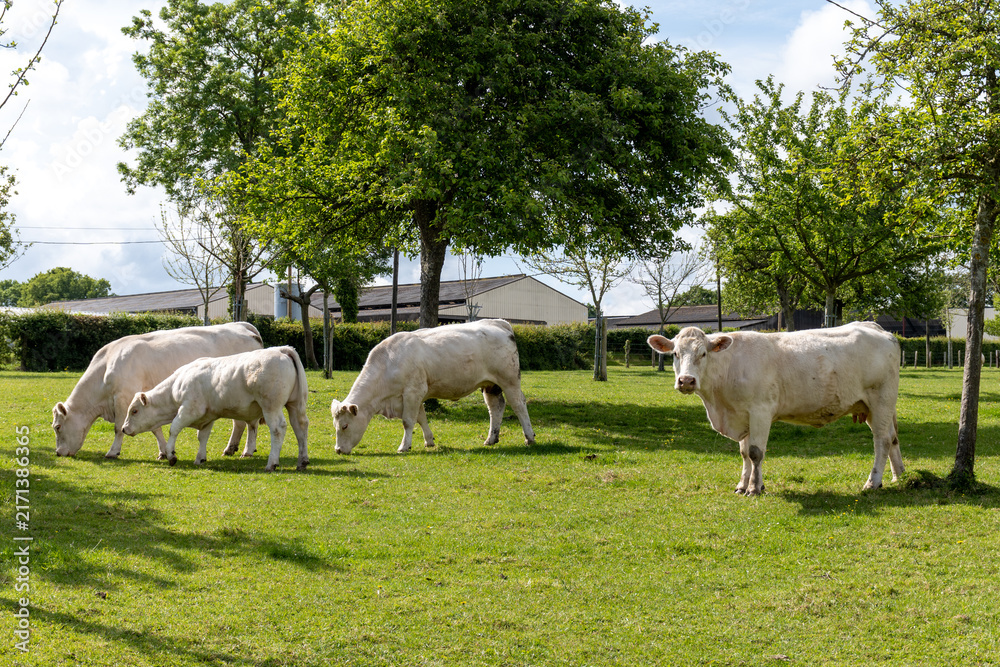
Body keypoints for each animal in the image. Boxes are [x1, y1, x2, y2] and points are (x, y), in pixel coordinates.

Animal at [52, 322, 264, 460]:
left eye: (57, 427)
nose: (58, 453)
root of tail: (242, 326)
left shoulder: (124, 398)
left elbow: (118, 428)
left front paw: (113, 452)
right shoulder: (146, 402)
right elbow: (155, 428)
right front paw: (164, 451)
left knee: (249, 423)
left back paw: (246, 450)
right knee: (240, 423)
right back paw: (231, 448)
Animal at [121, 346, 309, 472]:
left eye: (134, 411)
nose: (124, 428)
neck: (176, 386)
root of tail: (281, 350)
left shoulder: (189, 410)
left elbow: (173, 429)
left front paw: (171, 455)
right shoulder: (207, 416)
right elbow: (202, 437)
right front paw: (200, 458)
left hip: (271, 406)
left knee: (278, 429)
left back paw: (272, 463)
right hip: (295, 405)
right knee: (300, 428)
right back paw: (302, 461)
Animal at [331, 319, 535, 454]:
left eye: (345, 426)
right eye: (335, 425)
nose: (338, 450)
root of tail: (498, 322)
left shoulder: (413, 392)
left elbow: (408, 421)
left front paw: (404, 446)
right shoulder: (415, 395)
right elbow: (421, 418)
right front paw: (429, 441)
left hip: (509, 380)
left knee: (519, 405)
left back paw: (529, 437)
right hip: (490, 385)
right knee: (496, 408)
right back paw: (491, 439)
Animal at [647, 322, 903, 495]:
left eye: (703, 353)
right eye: (675, 354)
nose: (686, 381)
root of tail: (876, 328)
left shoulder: (760, 411)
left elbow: (755, 452)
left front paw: (754, 488)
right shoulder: (743, 414)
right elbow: (744, 453)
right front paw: (743, 485)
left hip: (881, 400)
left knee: (882, 441)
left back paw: (873, 482)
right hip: (871, 407)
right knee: (892, 437)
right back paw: (898, 475)